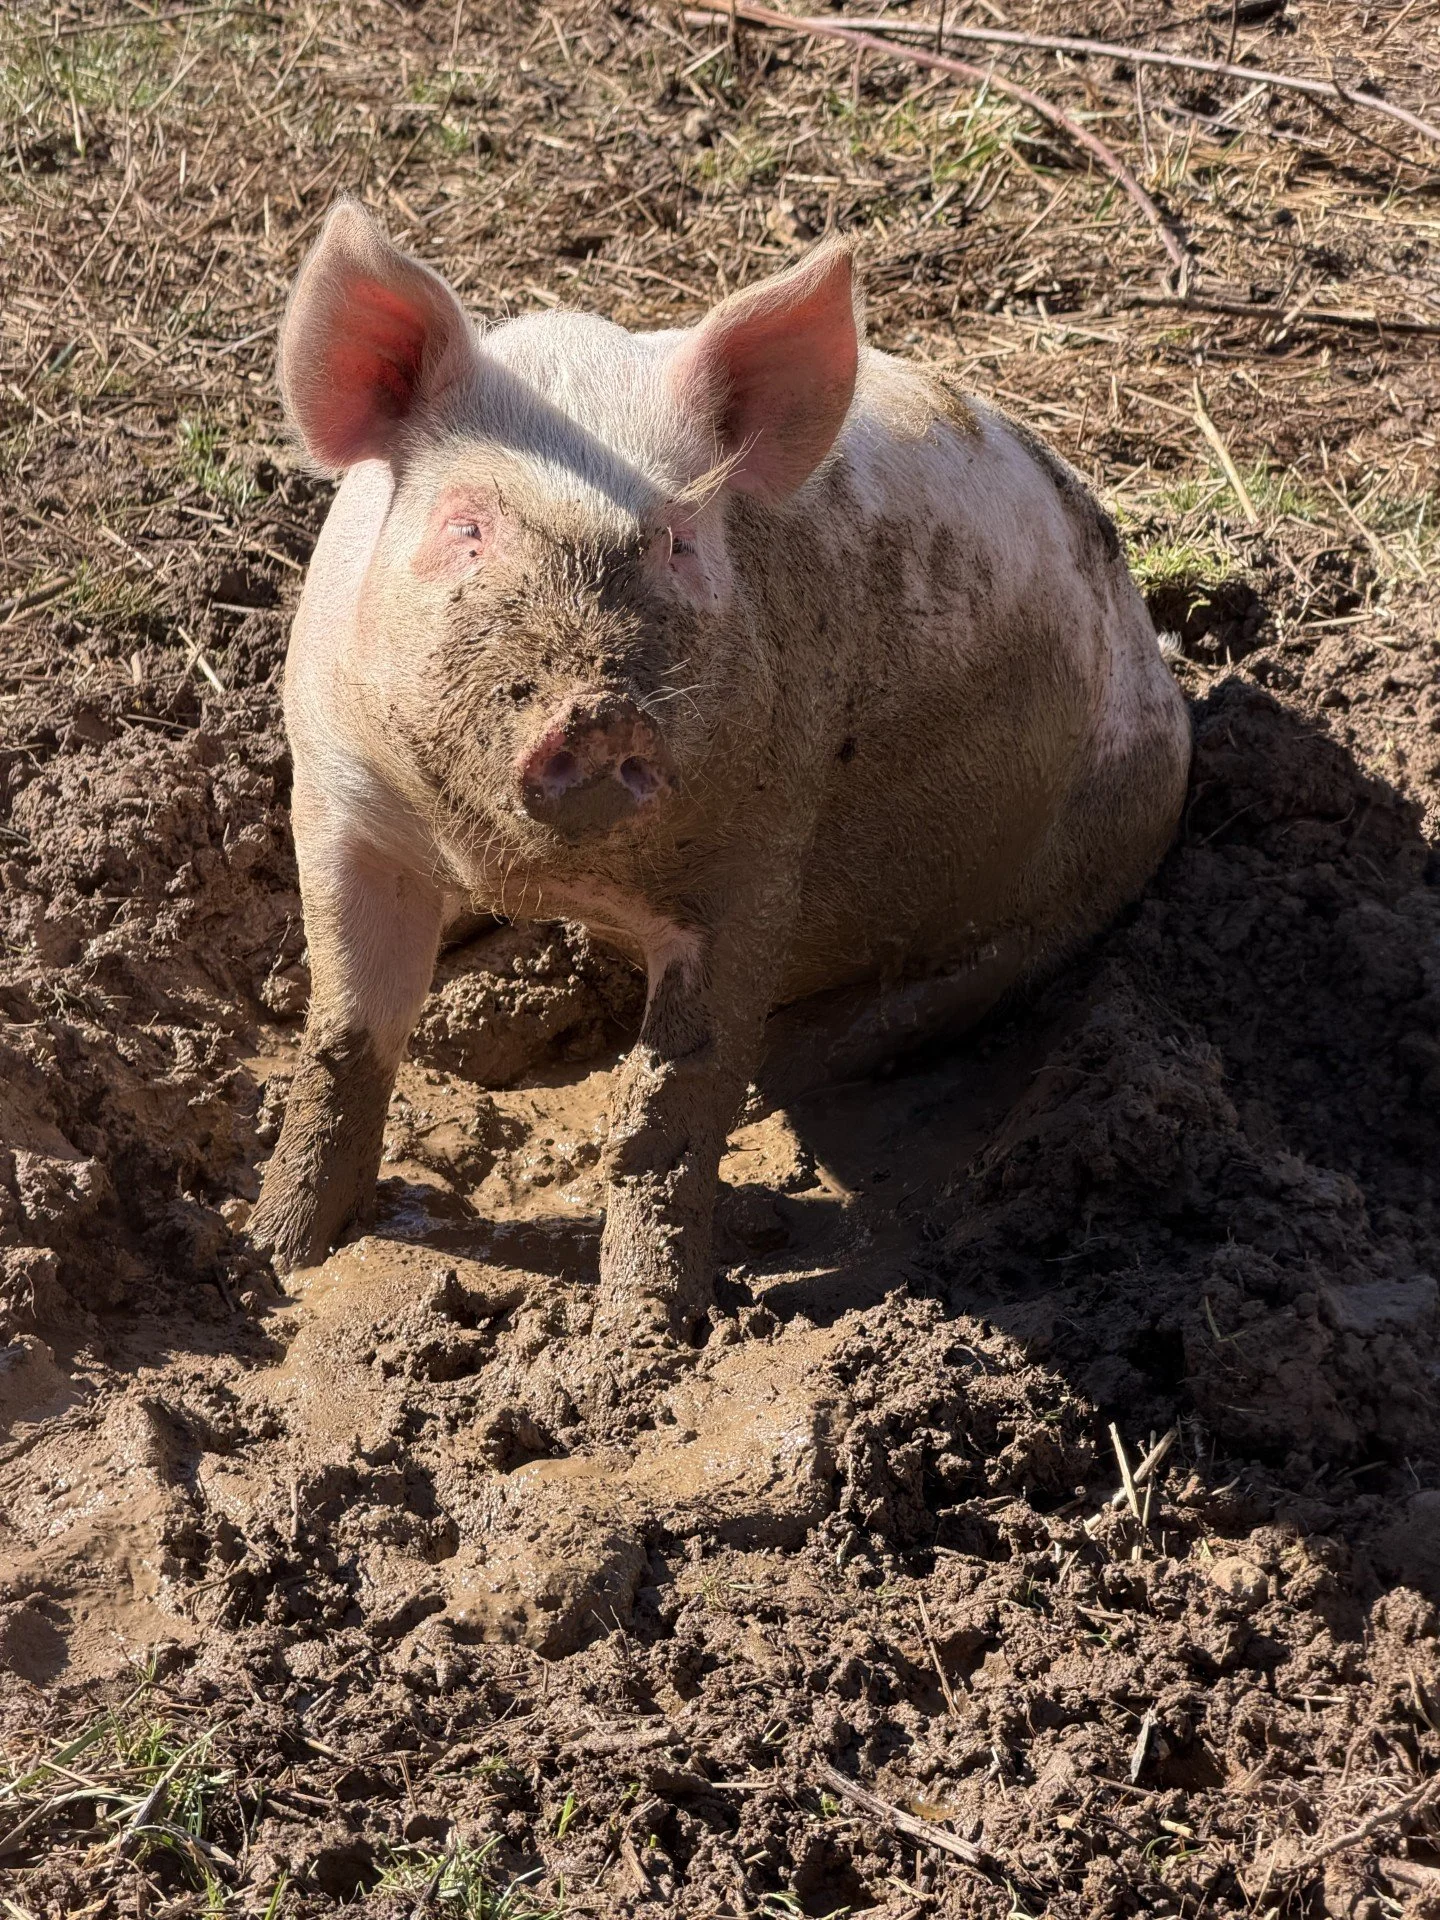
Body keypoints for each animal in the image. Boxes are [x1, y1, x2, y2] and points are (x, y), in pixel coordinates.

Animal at [249, 200, 1191, 1343]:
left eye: (680, 542)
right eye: (467, 527)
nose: (598, 713)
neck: (528, 867)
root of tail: (1163, 675)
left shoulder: (760, 852)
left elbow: (676, 1105)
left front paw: (645, 1340)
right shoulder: (338, 797)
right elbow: (346, 1036)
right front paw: (276, 1257)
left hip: (1077, 879)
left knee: (910, 1007)